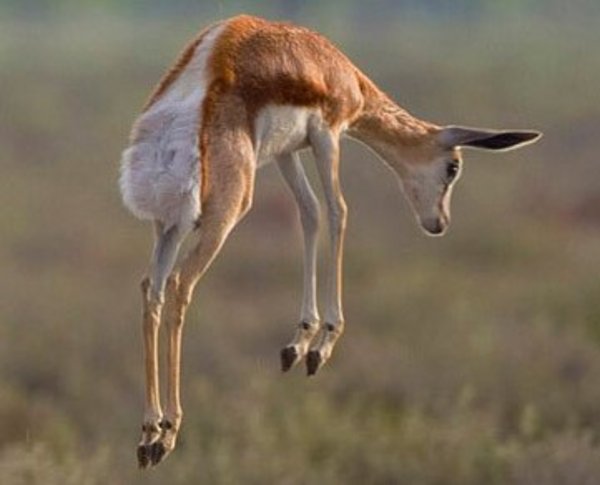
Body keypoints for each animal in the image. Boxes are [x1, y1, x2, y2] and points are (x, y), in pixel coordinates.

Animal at [119, 14, 540, 466]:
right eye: (453, 167)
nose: (438, 223)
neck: (339, 72)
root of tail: (178, 116)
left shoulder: (286, 152)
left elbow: (310, 213)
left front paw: (299, 342)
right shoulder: (328, 133)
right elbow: (338, 211)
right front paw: (323, 345)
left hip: (171, 225)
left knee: (151, 289)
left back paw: (148, 434)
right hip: (223, 215)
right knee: (181, 285)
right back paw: (168, 432)